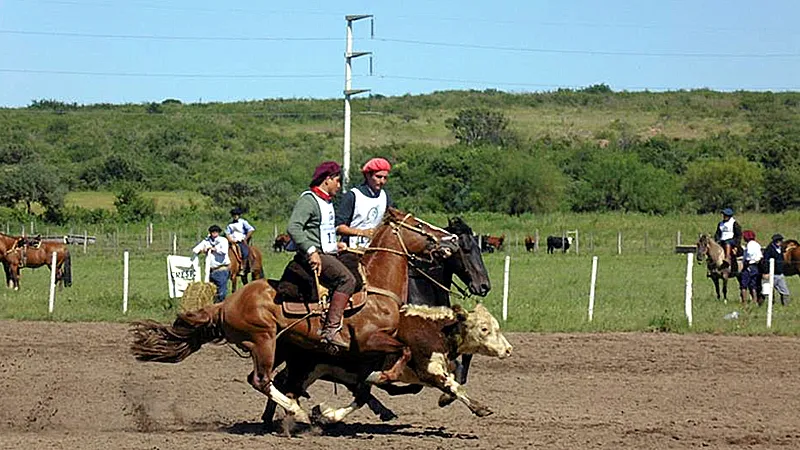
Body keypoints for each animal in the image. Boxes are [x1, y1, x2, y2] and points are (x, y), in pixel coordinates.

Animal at [131, 208, 507, 428]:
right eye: (417, 225)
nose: (483, 285)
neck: (377, 287)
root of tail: (226, 304)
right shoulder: (371, 341)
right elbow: (393, 362)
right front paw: (385, 381)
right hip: (263, 341)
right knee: (262, 380)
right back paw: (296, 412)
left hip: (280, 348)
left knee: (276, 381)